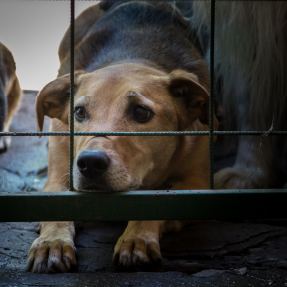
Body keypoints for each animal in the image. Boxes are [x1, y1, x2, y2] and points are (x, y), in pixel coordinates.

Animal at [27, 1, 218, 274]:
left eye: (140, 112)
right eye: (79, 112)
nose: (90, 163)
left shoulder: (198, 185)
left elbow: (159, 200)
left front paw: (136, 238)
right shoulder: (57, 176)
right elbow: (56, 211)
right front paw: (51, 242)